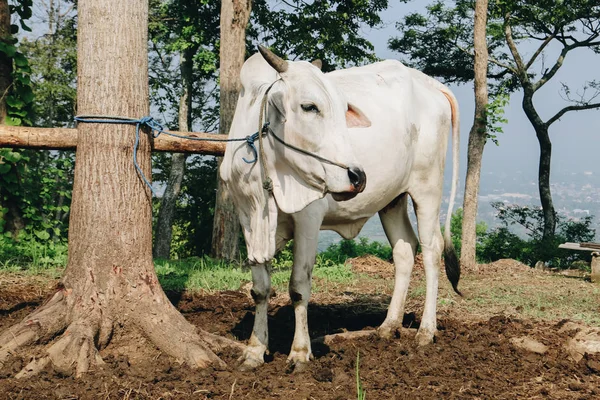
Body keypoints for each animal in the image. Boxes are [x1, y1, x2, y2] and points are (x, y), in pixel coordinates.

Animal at [220, 47, 460, 372]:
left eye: (343, 109)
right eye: (309, 107)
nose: (357, 176)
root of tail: (430, 84)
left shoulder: (308, 217)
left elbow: (298, 286)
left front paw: (299, 353)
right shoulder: (248, 218)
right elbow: (259, 288)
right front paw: (254, 351)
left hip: (427, 189)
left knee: (432, 250)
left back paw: (426, 330)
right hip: (393, 200)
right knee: (404, 250)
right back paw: (389, 326)